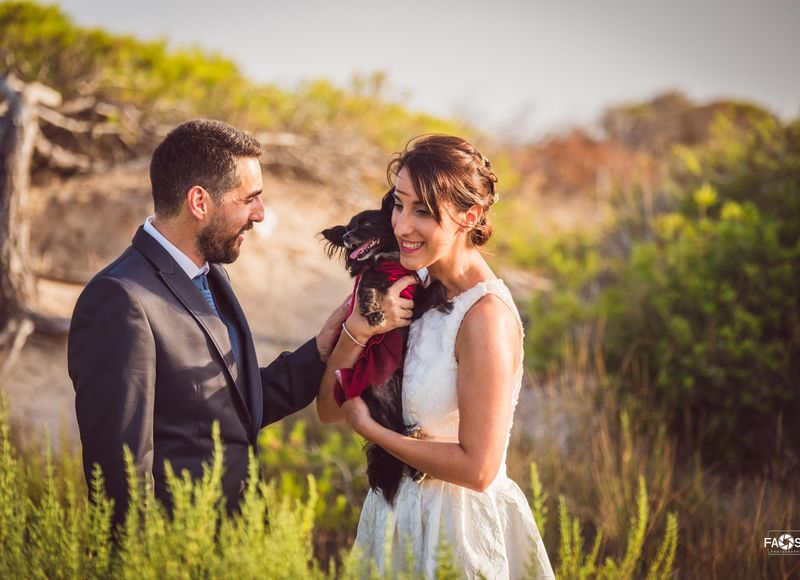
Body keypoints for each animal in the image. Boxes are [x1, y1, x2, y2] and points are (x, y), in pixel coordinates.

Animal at [324, 193, 450, 506]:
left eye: (366, 225)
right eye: (347, 228)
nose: (346, 237)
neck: (390, 264)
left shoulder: (412, 303)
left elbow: (433, 287)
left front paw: (445, 299)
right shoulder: (371, 280)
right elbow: (368, 290)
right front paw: (373, 313)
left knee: (400, 438)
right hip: (378, 408)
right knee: (394, 438)